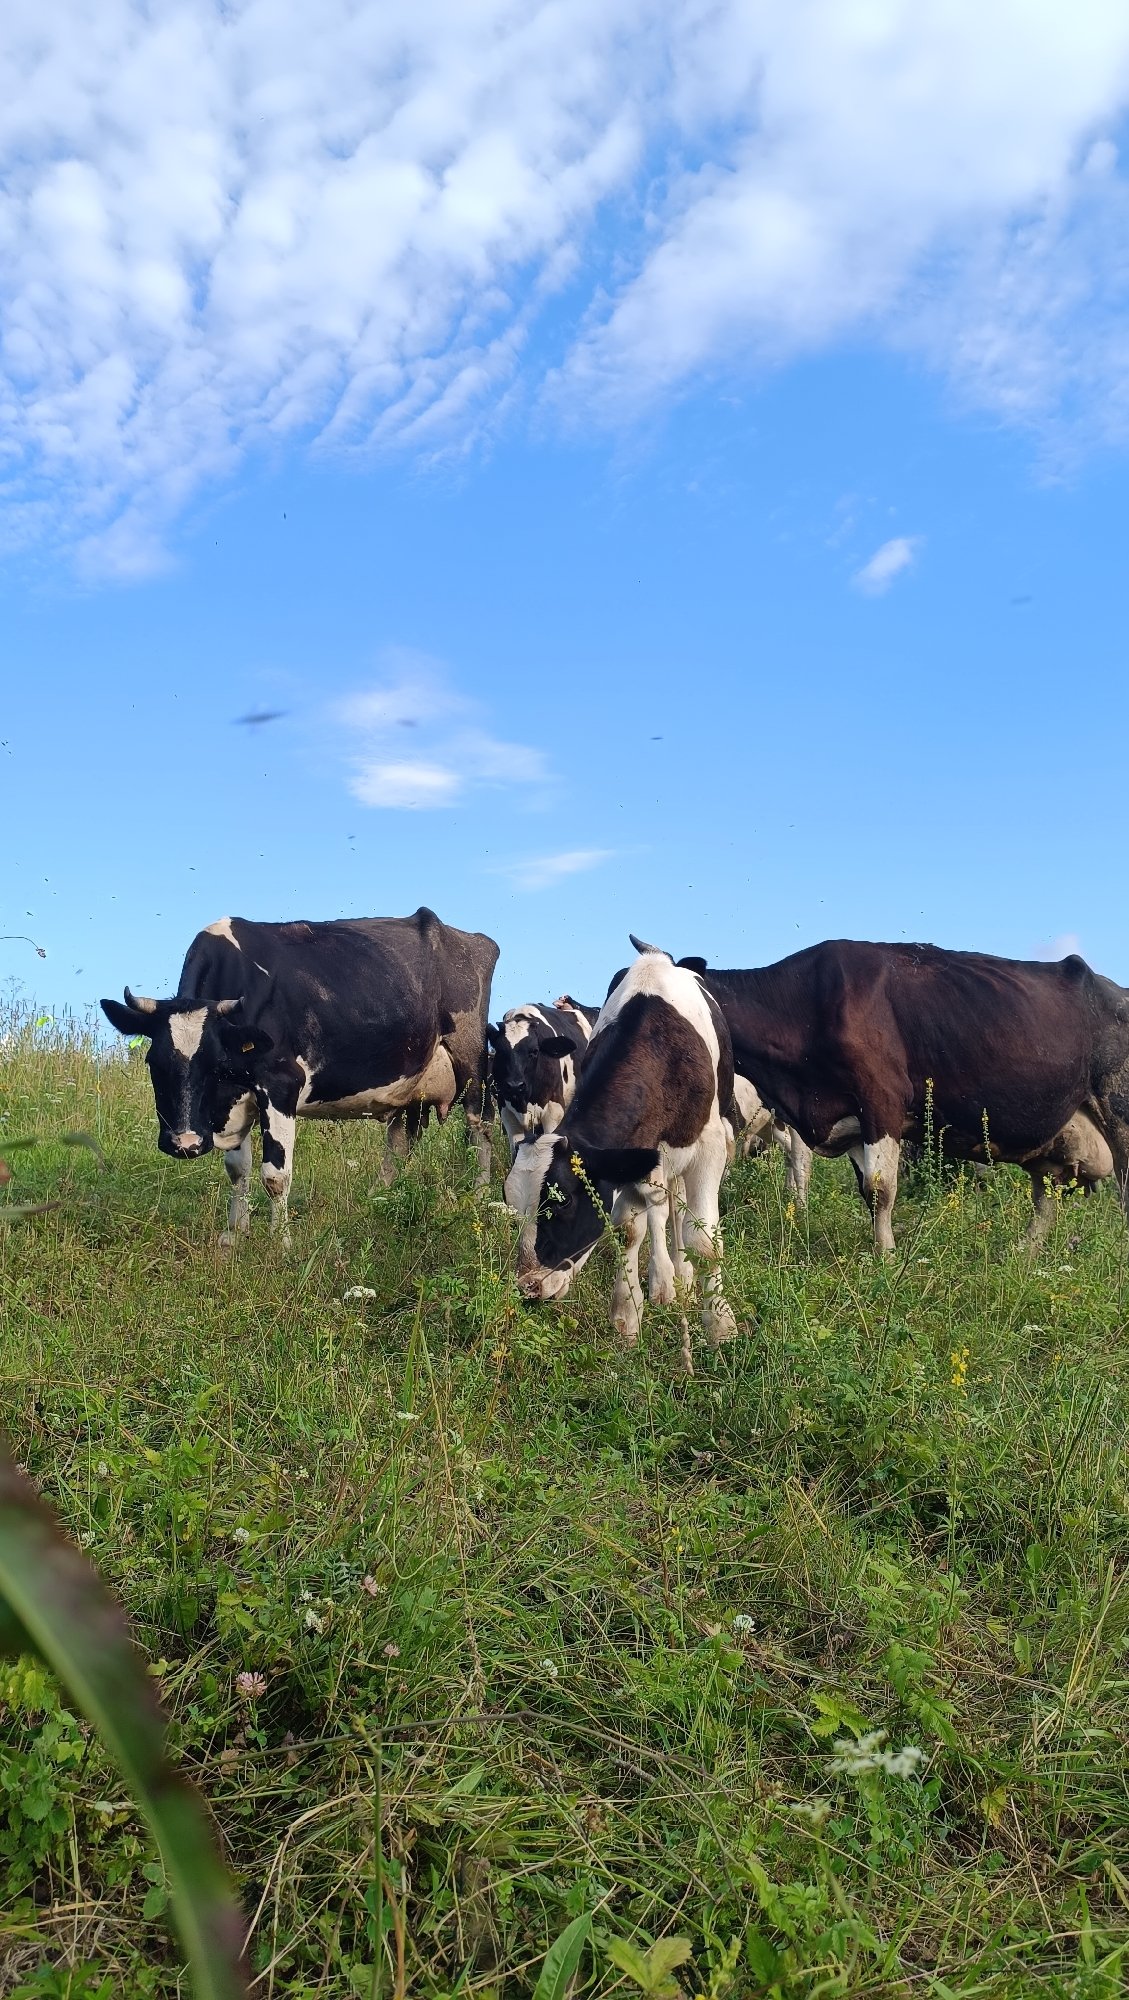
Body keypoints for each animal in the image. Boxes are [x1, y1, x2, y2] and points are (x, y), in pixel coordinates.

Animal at [100, 908, 498, 1246]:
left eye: (215, 1062)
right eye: (153, 1061)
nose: (184, 1143)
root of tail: (470, 938)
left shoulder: (280, 1084)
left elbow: (275, 1176)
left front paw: (281, 1243)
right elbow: (237, 1170)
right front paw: (235, 1234)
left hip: (472, 1060)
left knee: (479, 1125)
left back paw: (479, 1195)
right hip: (407, 1084)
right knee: (399, 1144)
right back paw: (378, 1200)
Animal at [505, 942, 737, 1365]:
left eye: (562, 1202)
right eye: (513, 1206)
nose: (528, 1288)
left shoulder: (709, 1148)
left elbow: (704, 1242)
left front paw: (720, 1329)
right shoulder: (628, 1156)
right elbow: (629, 1232)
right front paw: (627, 1321)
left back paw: (680, 1277)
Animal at [672, 941, 1129, 1254]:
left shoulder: (881, 1101)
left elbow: (880, 1189)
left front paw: (885, 1257)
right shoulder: (851, 1122)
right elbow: (866, 1190)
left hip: (1118, 1114)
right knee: (1045, 1200)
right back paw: (1022, 1256)